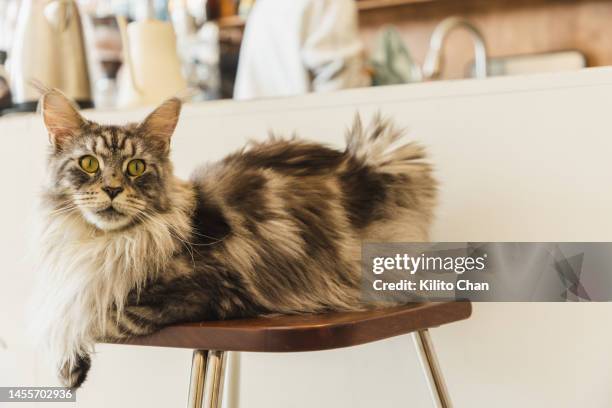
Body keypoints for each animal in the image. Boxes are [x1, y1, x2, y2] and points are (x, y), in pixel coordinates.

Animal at [31, 90, 436, 388]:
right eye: (89, 164)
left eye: (136, 167)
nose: (113, 189)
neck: (106, 242)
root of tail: (364, 165)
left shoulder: (208, 290)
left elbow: (89, 317)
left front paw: (66, 365)